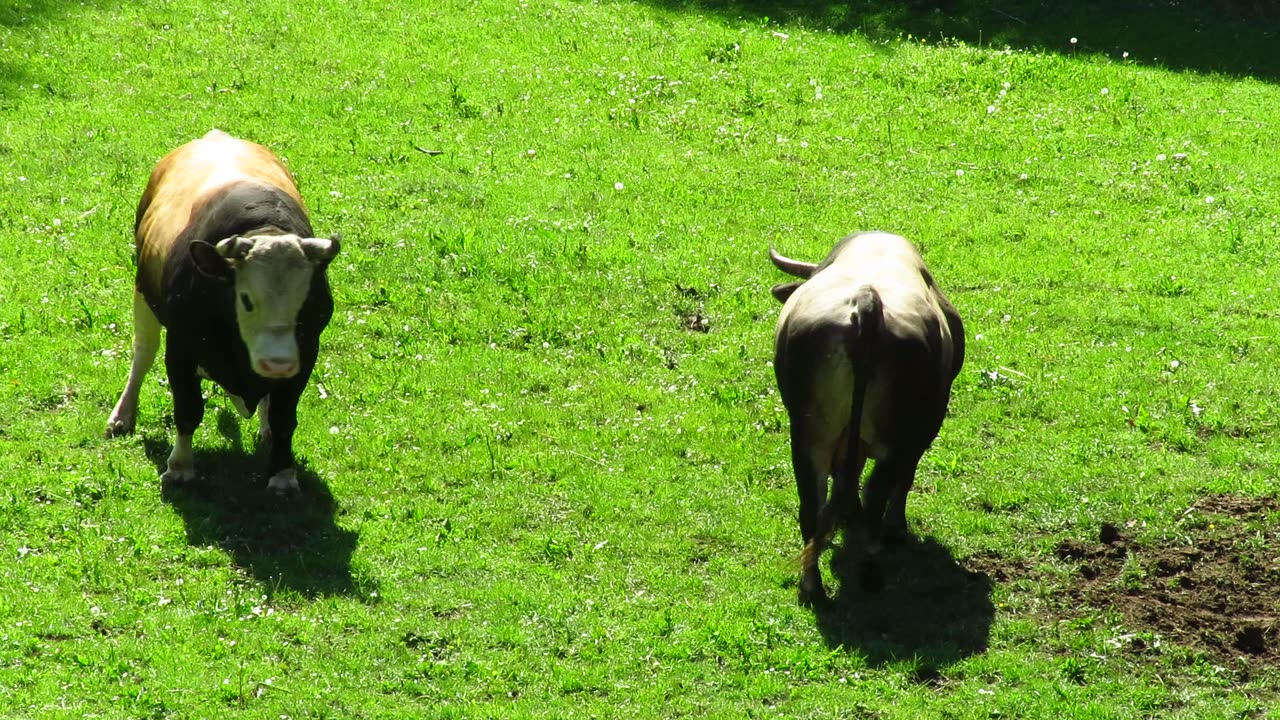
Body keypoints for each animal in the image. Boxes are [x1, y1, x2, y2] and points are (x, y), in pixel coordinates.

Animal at [105, 128, 343, 489]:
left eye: (308, 302)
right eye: (245, 298)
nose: (277, 363)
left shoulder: (305, 356)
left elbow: (284, 417)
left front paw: (283, 472)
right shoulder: (181, 349)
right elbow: (188, 409)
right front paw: (180, 467)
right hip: (142, 295)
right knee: (143, 353)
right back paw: (123, 414)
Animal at [768, 229, 962, 599]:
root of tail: (866, 302)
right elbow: (904, 479)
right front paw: (896, 528)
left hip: (809, 436)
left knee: (812, 504)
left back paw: (812, 586)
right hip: (897, 437)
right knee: (877, 494)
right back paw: (871, 571)